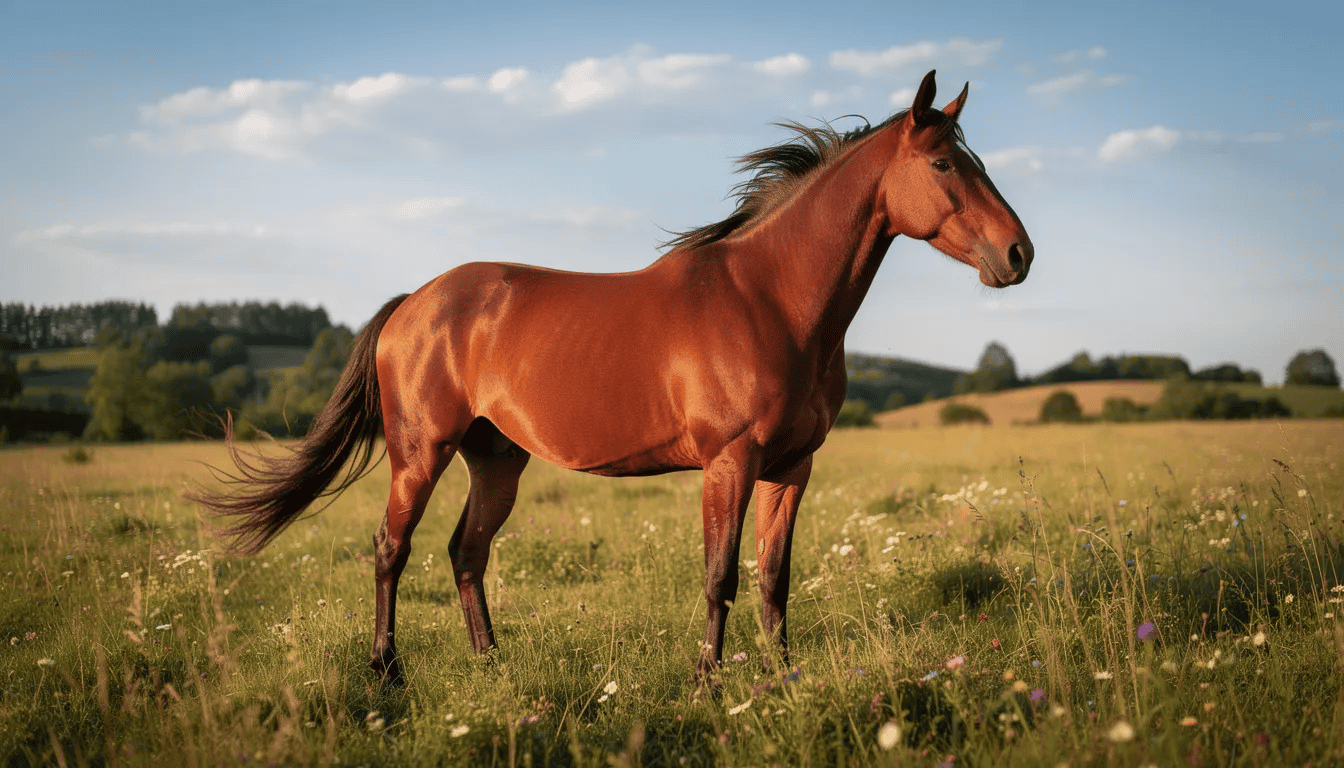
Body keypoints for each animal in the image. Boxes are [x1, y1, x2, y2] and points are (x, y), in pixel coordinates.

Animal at [195, 70, 1033, 684]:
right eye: (942, 163)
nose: (1019, 255)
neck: (769, 299)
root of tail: (414, 304)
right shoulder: (729, 463)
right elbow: (720, 575)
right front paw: (709, 682)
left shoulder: (793, 469)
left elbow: (774, 579)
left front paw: (784, 676)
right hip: (419, 454)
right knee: (390, 550)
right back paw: (387, 672)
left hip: (496, 461)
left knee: (466, 553)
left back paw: (492, 666)